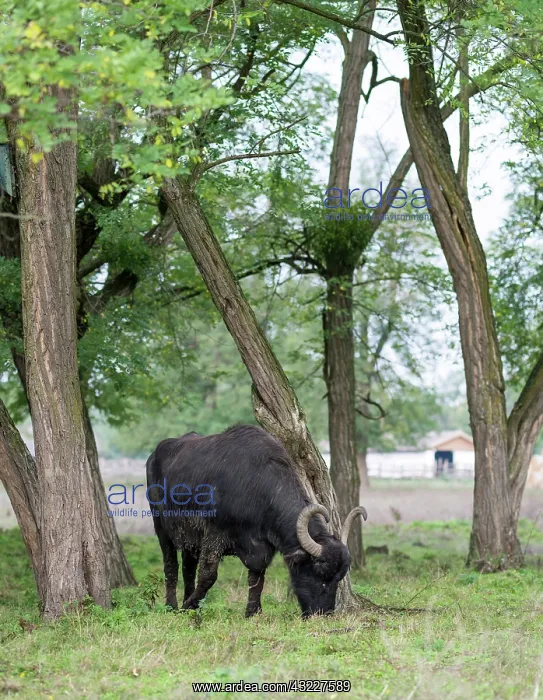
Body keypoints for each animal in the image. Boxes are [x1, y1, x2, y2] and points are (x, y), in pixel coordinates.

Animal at [146, 425, 366, 617]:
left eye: (338, 578)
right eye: (319, 573)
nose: (324, 613)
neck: (255, 485)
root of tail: (154, 455)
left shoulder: (261, 546)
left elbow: (257, 577)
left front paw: (253, 611)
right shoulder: (214, 535)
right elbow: (209, 575)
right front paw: (187, 607)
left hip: (190, 538)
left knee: (188, 568)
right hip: (161, 528)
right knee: (171, 566)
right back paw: (172, 605)